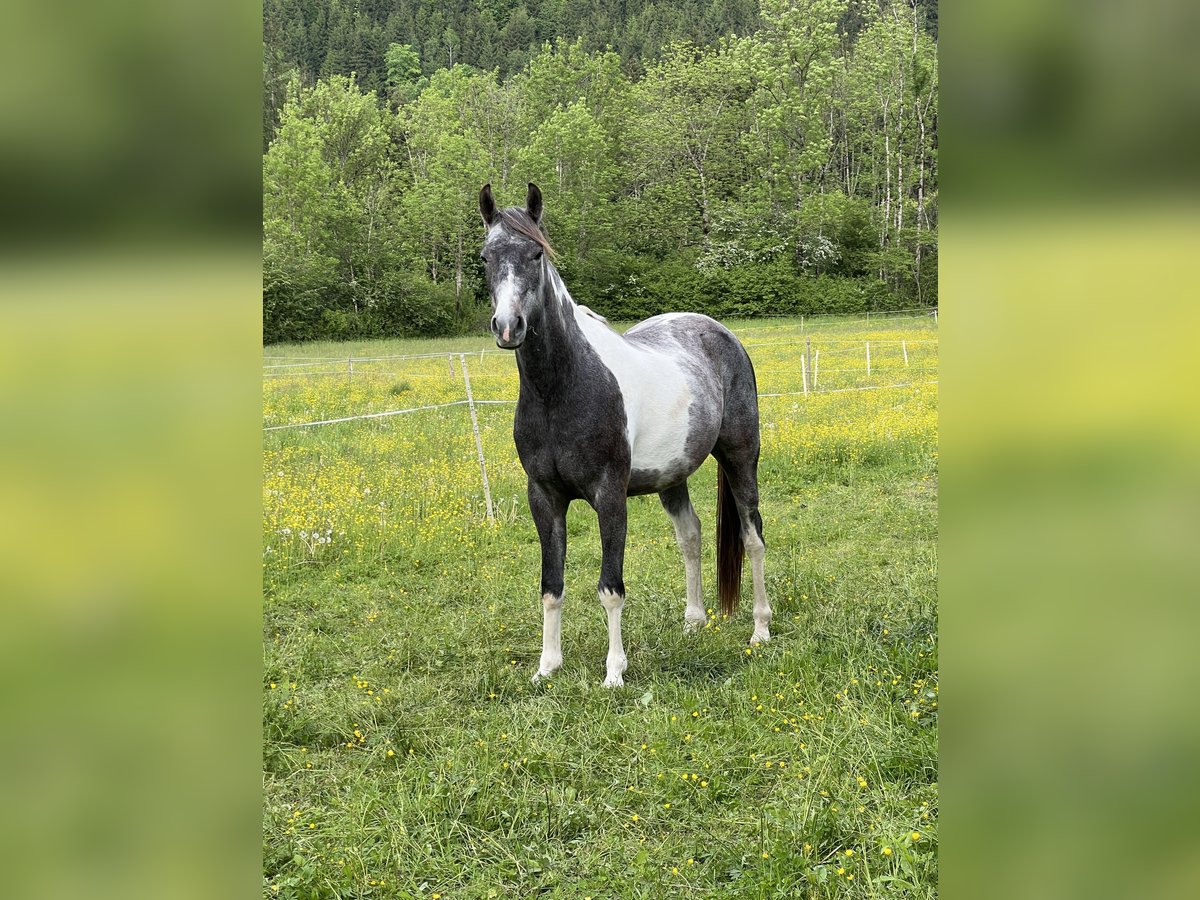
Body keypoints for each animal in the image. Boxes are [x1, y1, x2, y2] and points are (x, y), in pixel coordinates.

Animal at [477, 184, 768, 691]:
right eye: (486, 256)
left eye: (536, 253)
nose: (508, 327)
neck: (561, 389)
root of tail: (721, 333)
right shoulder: (544, 497)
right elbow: (551, 586)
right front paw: (546, 668)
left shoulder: (609, 495)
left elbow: (610, 587)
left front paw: (614, 672)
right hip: (673, 476)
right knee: (691, 536)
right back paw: (694, 622)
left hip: (740, 458)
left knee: (754, 537)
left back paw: (760, 630)